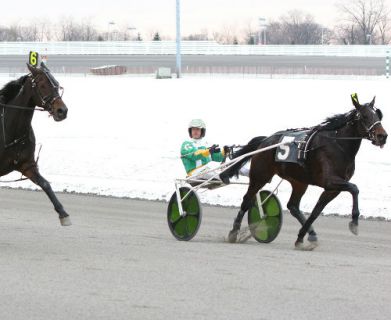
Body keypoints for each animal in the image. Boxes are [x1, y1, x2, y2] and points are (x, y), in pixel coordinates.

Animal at [0, 62, 71, 226]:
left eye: (57, 84)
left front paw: (63, 213)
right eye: (43, 85)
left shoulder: (27, 164)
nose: (62, 111)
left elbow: (45, 184)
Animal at [224, 94, 388, 249]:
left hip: (299, 181)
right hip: (260, 175)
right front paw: (354, 222)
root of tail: (265, 140)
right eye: (365, 116)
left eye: (378, 115)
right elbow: (354, 188)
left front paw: (301, 238)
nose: (383, 136)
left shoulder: (332, 188)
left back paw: (310, 233)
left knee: (293, 206)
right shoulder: (330, 181)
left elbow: (316, 211)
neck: (338, 144)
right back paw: (234, 232)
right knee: (247, 200)